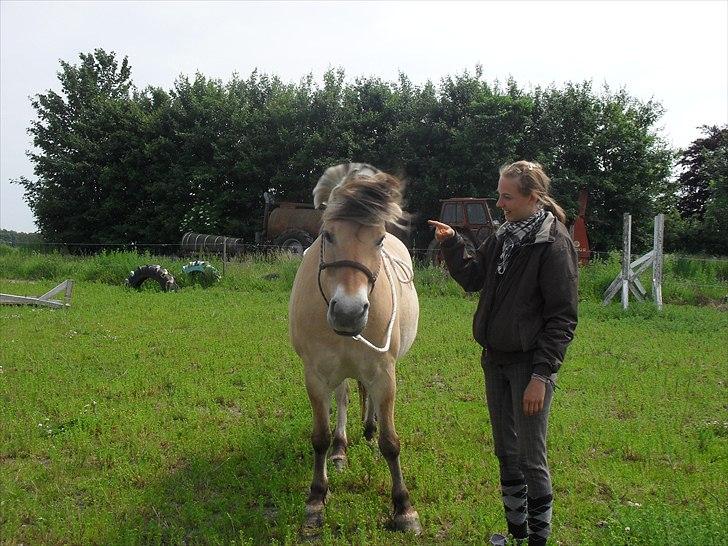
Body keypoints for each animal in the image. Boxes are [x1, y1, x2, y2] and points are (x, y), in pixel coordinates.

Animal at [288, 160, 420, 532]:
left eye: (378, 239)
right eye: (328, 235)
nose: (348, 312)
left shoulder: (383, 373)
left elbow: (391, 442)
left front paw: (403, 508)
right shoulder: (316, 376)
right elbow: (319, 436)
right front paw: (316, 499)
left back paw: (369, 432)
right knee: (345, 399)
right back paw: (341, 449)